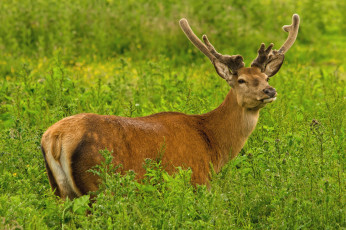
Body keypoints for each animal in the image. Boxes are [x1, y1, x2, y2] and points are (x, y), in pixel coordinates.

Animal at [41, 13, 300, 199]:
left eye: (266, 78)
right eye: (241, 80)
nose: (269, 91)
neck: (212, 143)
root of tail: (55, 138)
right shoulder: (196, 179)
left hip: (60, 191)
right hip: (97, 184)